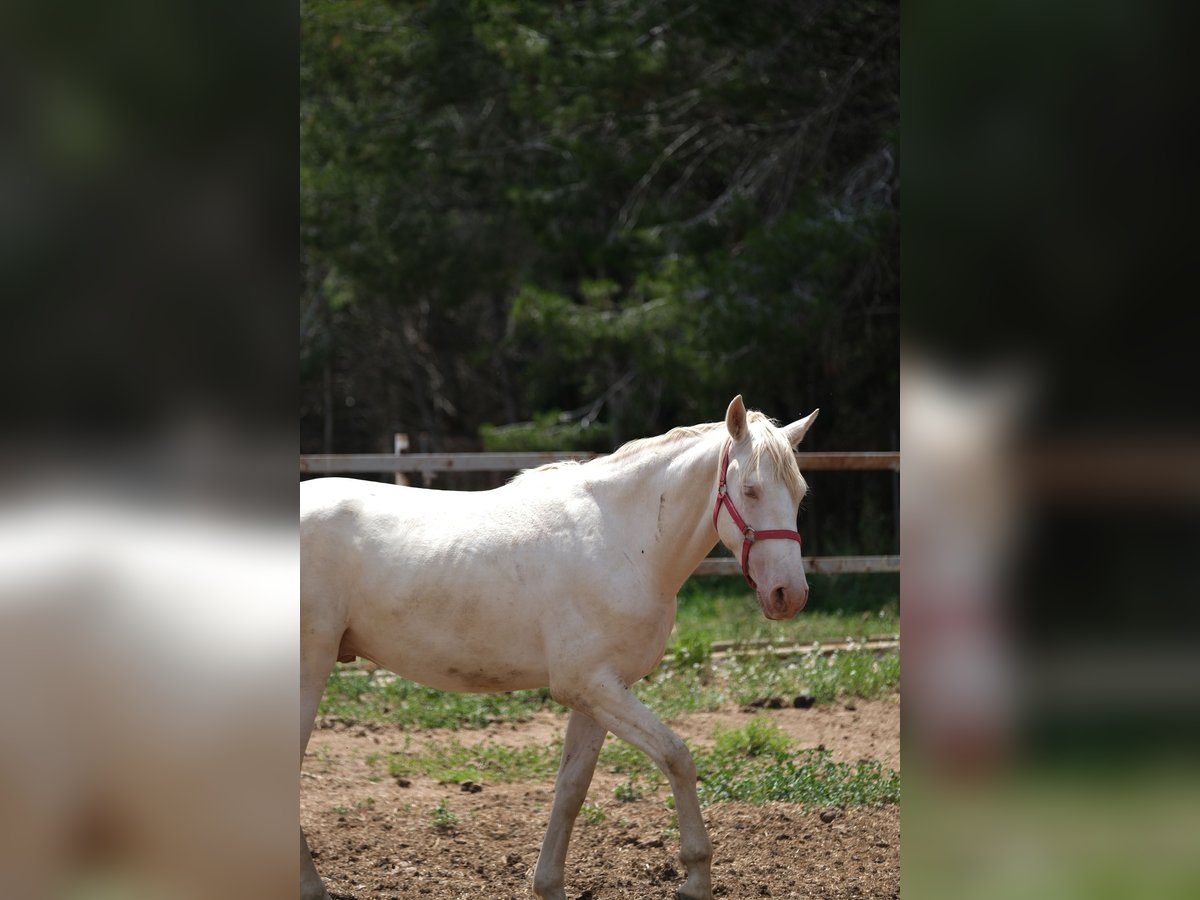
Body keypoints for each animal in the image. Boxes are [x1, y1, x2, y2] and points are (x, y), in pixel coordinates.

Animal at [298, 400, 816, 900]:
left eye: (799, 493)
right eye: (750, 489)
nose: (789, 595)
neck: (623, 541)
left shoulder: (599, 694)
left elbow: (571, 788)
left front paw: (548, 885)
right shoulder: (588, 685)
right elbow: (677, 757)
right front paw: (695, 878)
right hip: (309, 668)